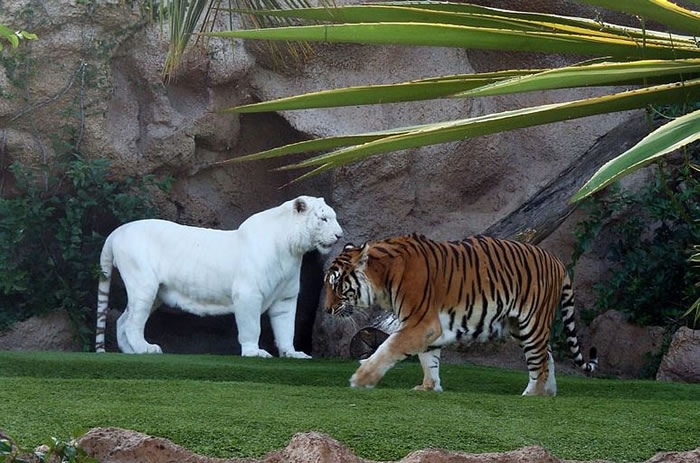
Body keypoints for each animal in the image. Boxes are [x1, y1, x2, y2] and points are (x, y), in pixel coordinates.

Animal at [93, 196, 344, 358]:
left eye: (333, 217)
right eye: (323, 219)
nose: (340, 235)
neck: (292, 250)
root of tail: (117, 231)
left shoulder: (286, 298)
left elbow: (286, 328)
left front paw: (292, 353)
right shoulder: (248, 294)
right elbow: (251, 326)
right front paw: (254, 352)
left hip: (155, 292)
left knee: (123, 320)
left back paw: (130, 351)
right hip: (144, 284)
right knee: (133, 322)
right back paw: (145, 349)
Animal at [326, 234, 600, 396]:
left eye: (337, 285)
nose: (327, 309)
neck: (382, 278)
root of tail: (558, 261)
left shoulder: (420, 324)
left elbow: (388, 348)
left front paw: (361, 379)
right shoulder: (427, 327)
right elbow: (429, 360)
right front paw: (429, 387)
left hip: (531, 323)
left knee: (539, 363)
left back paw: (532, 395)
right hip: (519, 326)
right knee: (547, 355)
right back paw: (548, 393)